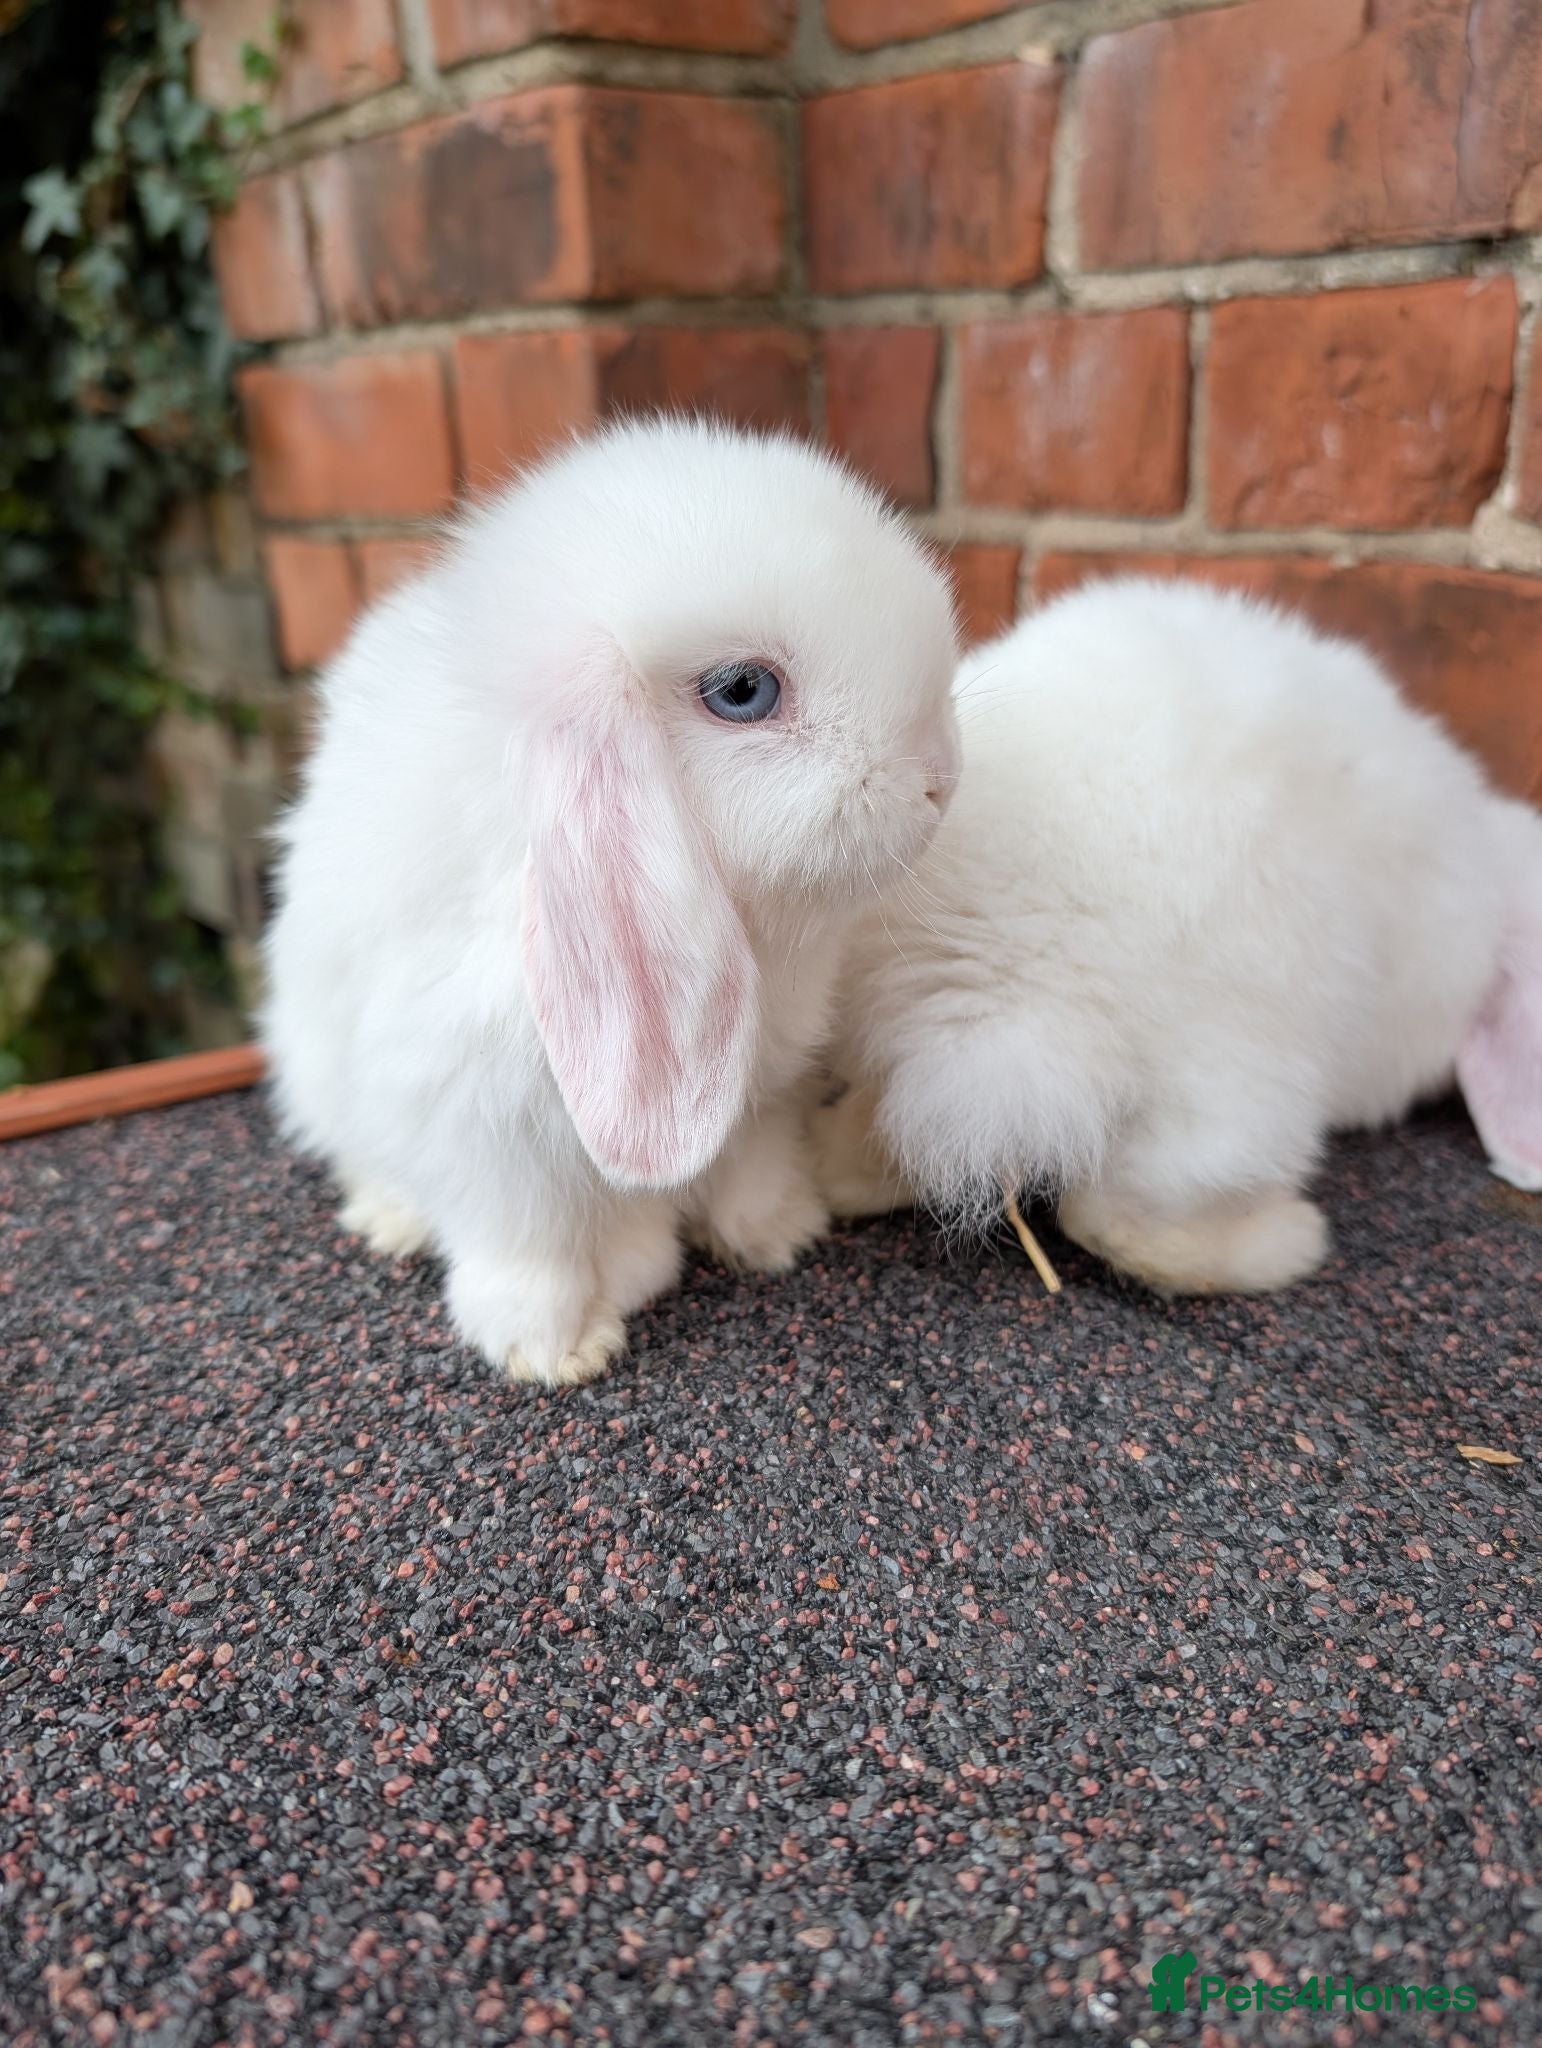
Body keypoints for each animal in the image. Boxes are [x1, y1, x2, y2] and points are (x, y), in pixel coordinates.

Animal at [263, 418, 961, 1384]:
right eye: (743, 691)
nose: (941, 779)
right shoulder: (485, 1126)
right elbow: (530, 1245)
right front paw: (552, 1348)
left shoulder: (762, 1094)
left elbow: (749, 1168)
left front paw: (774, 1237)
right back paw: (391, 1220)